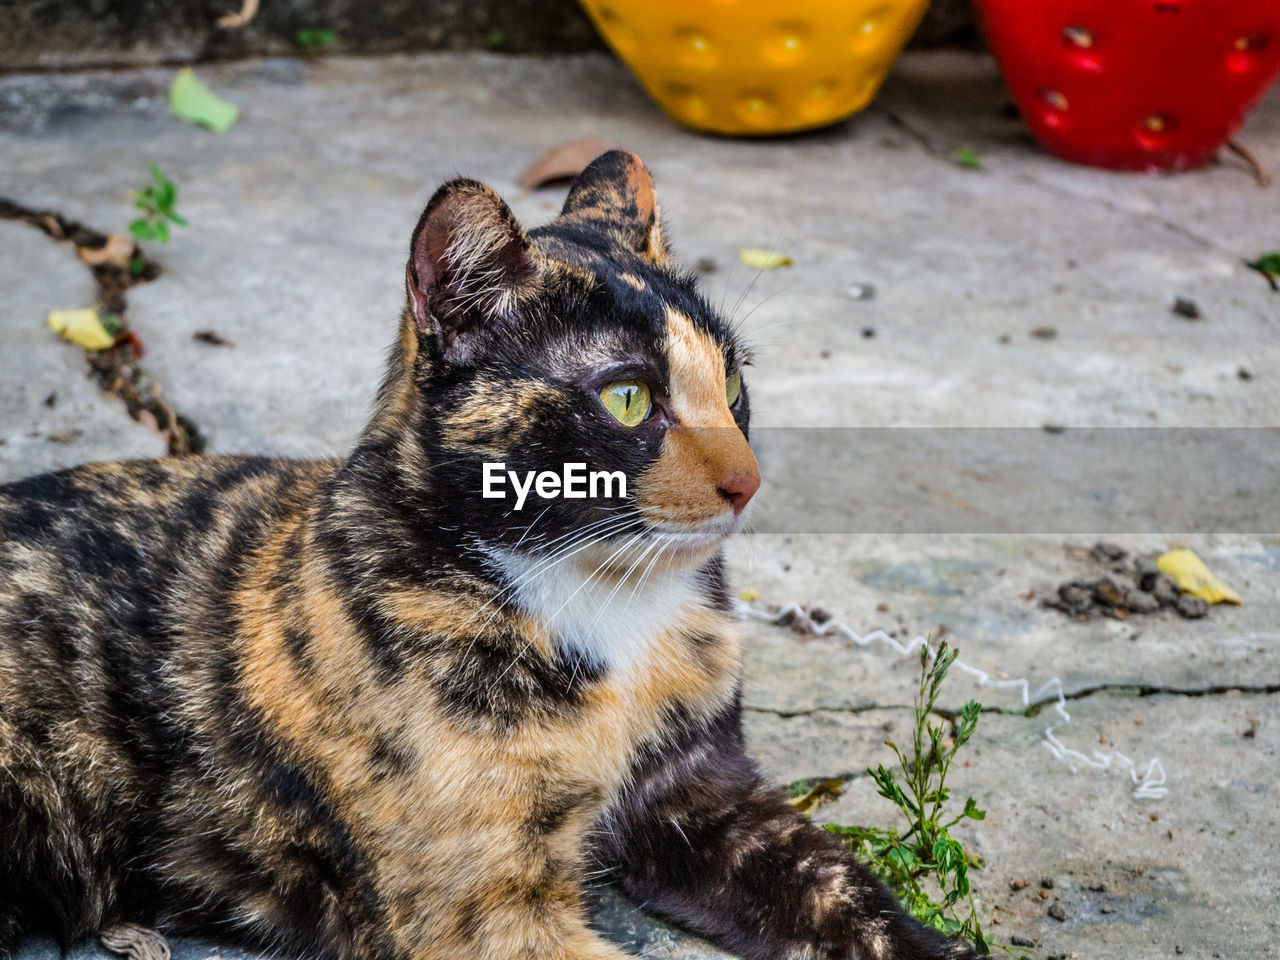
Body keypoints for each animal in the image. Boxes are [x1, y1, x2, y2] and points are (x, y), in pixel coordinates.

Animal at [0, 152, 972, 960]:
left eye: (732, 383)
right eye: (627, 397)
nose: (749, 480)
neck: (605, 606)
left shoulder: (706, 797)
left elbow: (846, 892)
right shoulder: (487, 910)